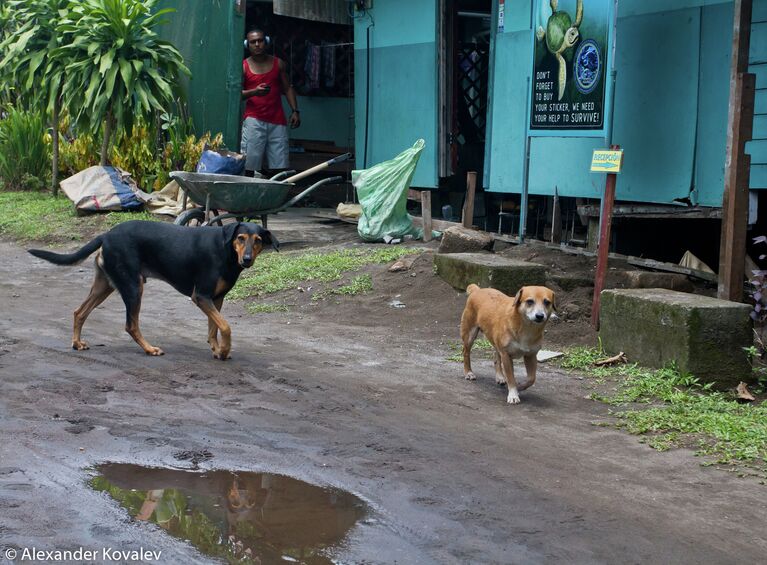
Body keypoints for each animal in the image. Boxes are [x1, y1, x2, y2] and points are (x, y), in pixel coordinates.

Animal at [28, 218, 278, 360]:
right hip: (133, 286)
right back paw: (149, 349)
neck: (226, 251)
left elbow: (213, 329)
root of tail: (106, 235)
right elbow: (225, 326)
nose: (247, 259)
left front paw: (217, 350)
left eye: (258, 240)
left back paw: (77, 343)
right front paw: (225, 350)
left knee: (79, 312)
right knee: (130, 325)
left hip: (105, 285)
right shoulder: (201, 296)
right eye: (241, 238)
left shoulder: (216, 299)